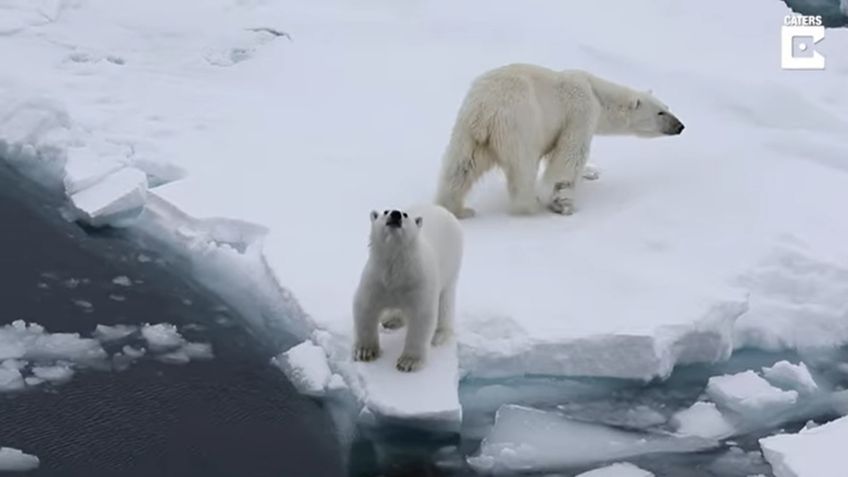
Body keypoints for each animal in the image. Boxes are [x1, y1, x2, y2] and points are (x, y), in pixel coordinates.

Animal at [434, 64, 684, 217]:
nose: (680, 126)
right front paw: (563, 204)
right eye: (661, 112)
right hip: (521, 126)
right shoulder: (580, 112)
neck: (596, 92)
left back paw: (457, 209)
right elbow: (570, 154)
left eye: (668, 107)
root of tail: (486, 112)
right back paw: (531, 205)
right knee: (523, 169)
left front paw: (591, 172)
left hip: (468, 132)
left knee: (460, 168)